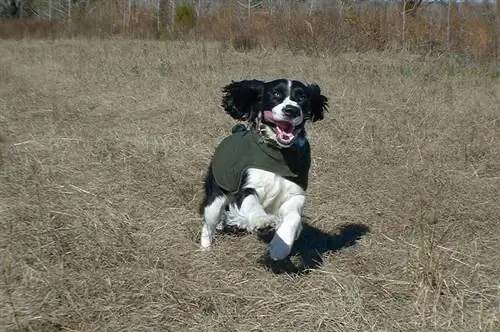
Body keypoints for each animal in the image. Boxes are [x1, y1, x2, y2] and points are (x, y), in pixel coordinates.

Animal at [199, 79, 328, 260]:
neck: (278, 154)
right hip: (215, 196)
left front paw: (280, 247)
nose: (291, 110)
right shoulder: (247, 185)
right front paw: (262, 221)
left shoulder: (295, 192)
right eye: (276, 93)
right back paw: (205, 247)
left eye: (302, 97)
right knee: (208, 222)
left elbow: (294, 217)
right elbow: (252, 203)